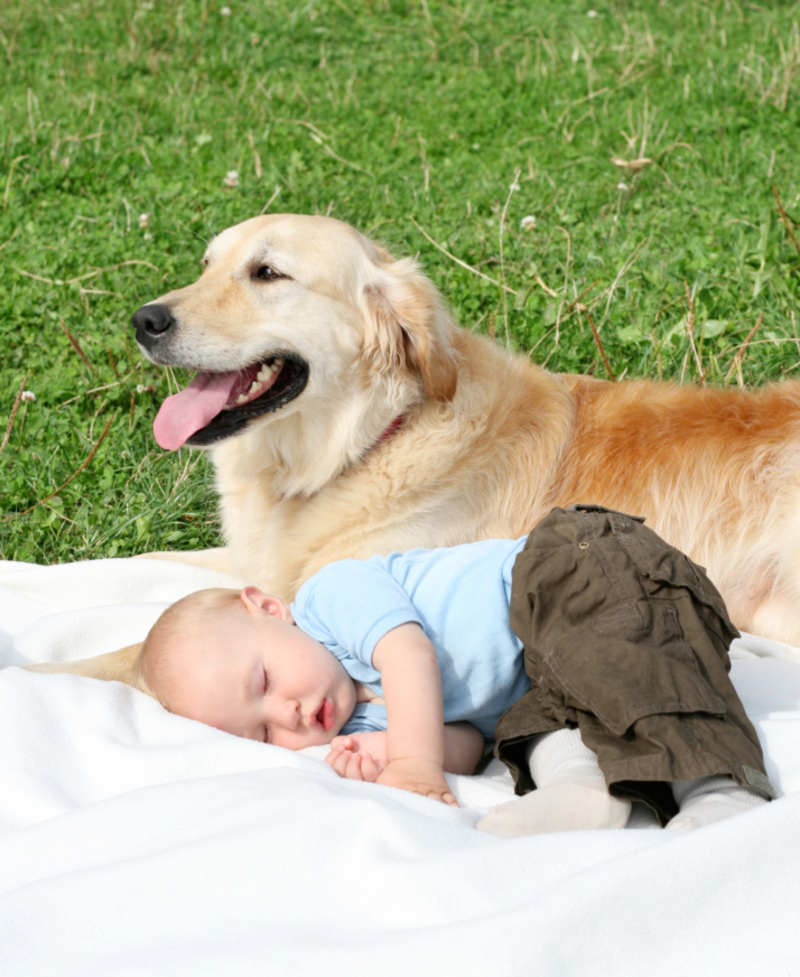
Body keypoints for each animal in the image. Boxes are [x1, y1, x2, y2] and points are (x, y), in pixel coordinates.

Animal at [32, 214, 800, 688]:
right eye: (207, 264)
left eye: (268, 274)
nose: (144, 320)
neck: (367, 442)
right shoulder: (262, 564)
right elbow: (141, 566)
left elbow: (135, 649)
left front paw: (38, 674)